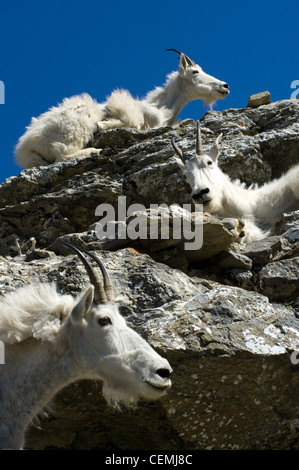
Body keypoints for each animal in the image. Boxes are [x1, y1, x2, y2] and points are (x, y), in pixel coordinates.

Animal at [14, 50, 230, 169]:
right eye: (195, 72)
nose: (225, 86)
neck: (162, 108)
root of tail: (26, 148)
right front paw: (104, 126)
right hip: (74, 130)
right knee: (63, 155)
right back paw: (95, 150)